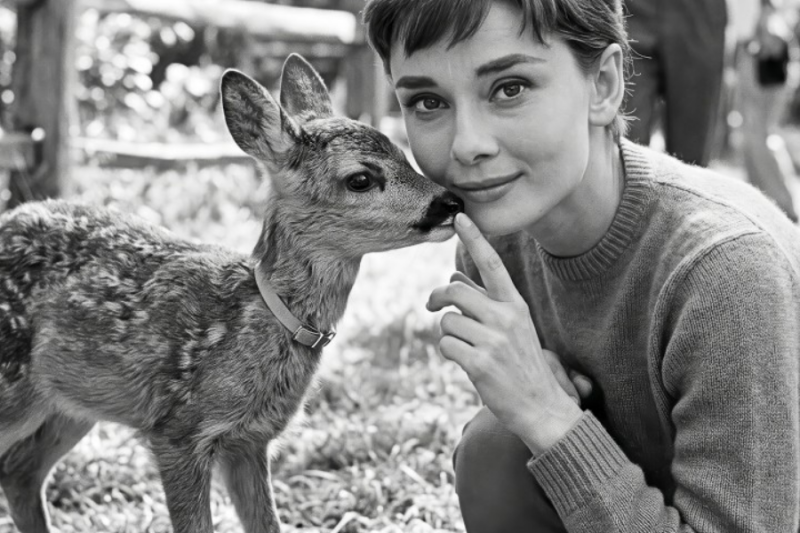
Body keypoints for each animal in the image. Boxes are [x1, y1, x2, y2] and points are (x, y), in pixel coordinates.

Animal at [0, 54, 462, 533]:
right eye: (360, 178)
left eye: (404, 154)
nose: (450, 203)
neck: (250, 318)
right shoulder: (178, 431)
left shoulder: (250, 440)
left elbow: (268, 524)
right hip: (13, 387)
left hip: (69, 405)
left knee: (19, 472)